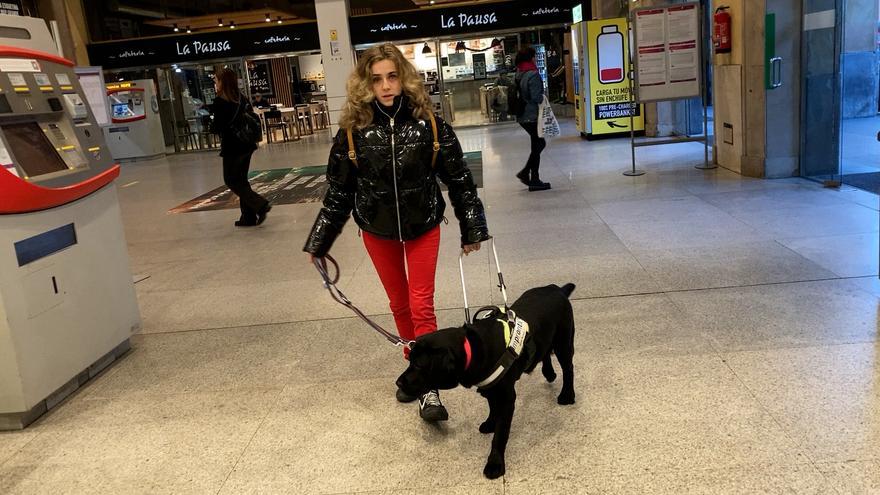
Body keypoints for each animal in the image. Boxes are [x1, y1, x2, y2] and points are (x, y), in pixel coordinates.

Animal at [398, 282, 576, 480]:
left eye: (418, 364)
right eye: (409, 360)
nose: (399, 383)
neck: (472, 348)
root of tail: (557, 288)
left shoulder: (507, 398)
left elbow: (500, 436)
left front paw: (495, 463)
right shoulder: (489, 385)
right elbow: (492, 407)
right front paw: (491, 422)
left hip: (564, 342)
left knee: (568, 369)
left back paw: (567, 395)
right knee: (544, 352)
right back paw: (549, 372)